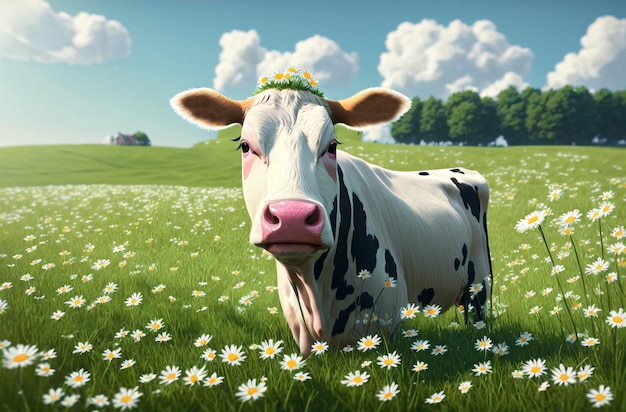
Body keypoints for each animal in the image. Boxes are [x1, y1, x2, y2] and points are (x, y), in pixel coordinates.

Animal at [169, 77, 488, 358]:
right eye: (245, 145)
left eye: (332, 146)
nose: (292, 217)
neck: (314, 291)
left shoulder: (384, 323)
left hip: (480, 284)